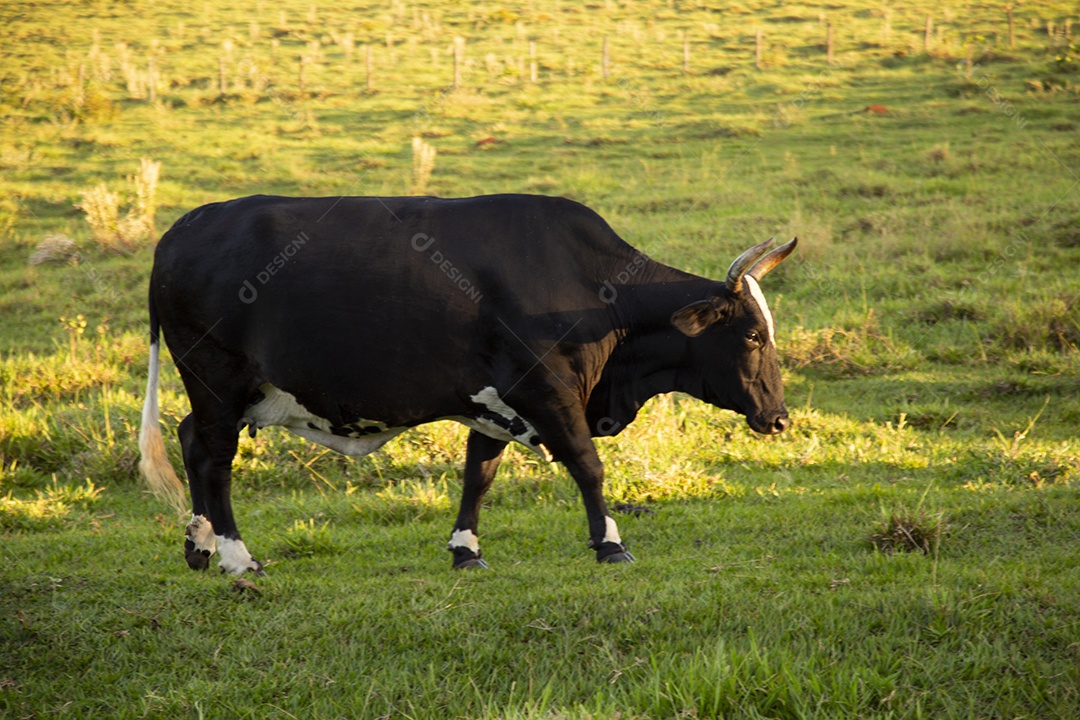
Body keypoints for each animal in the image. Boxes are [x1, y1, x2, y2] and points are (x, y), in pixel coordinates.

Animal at [137, 193, 794, 574]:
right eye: (752, 336)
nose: (780, 417)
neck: (595, 290)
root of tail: (179, 230)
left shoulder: (495, 402)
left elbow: (479, 474)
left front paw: (465, 551)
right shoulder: (546, 389)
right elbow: (587, 465)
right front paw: (610, 543)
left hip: (226, 392)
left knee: (191, 440)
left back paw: (199, 546)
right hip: (216, 379)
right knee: (214, 457)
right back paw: (236, 555)